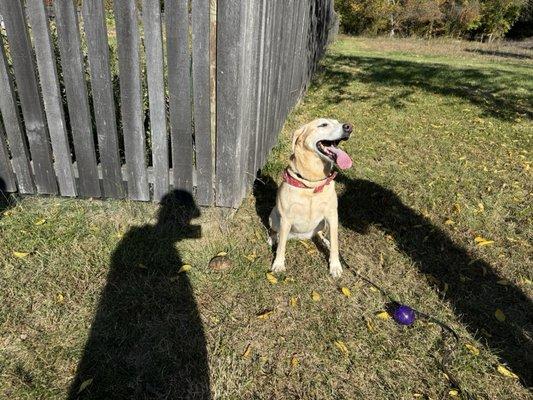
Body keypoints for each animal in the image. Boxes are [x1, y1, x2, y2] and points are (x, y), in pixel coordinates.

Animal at [268, 117, 352, 276]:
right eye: (323, 124)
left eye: (337, 122)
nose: (349, 127)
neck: (312, 183)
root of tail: (302, 236)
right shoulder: (286, 218)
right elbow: (281, 246)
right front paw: (278, 264)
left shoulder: (332, 216)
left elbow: (335, 243)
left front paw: (335, 265)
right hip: (274, 216)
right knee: (276, 232)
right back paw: (272, 238)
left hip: (322, 223)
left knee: (319, 233)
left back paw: (325, 241)